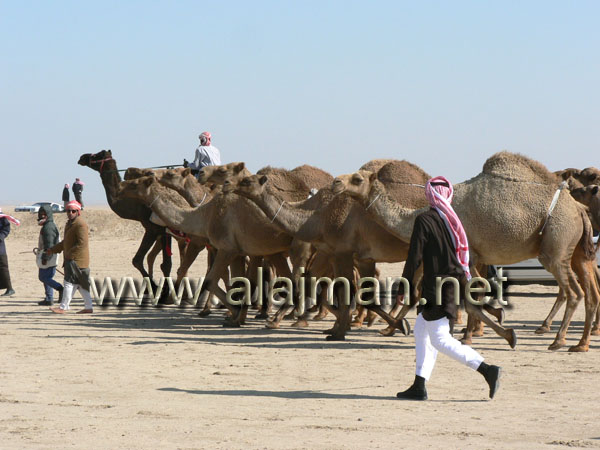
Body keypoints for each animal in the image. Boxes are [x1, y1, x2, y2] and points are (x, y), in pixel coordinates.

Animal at [333, 152, 600, 352]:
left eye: (357, 179)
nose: (336, 182)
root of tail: (579, 209)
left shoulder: (468, 255)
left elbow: (472, 299)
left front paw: (500, 334)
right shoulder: (470, 259)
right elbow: (472, 296)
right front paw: (476, 329)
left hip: (556, 245)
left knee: (574, 292)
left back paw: (558, 340)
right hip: (574, 252)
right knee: (588, 292)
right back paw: (580, 344)